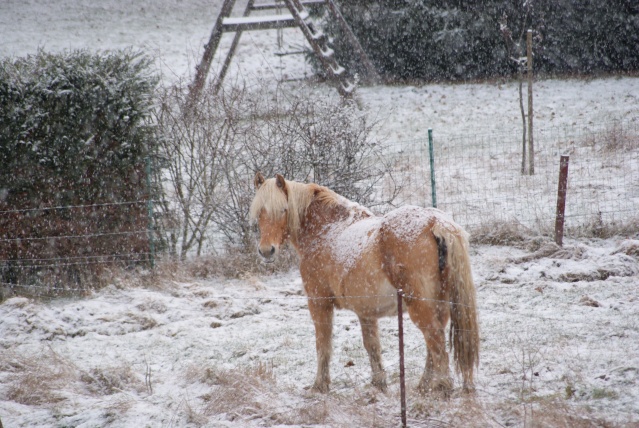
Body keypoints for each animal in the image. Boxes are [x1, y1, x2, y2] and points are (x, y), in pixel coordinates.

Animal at [250, 174, 480, 394]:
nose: (266, 251)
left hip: (421, 306)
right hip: (441, 305)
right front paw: (379, 383)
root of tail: (436, 224)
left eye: (283, 210)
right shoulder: (366, 311)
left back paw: (442, 387)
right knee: (433, 344)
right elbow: (372, 346)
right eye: (260, 211)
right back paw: (424, 386)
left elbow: (323, 345)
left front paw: (320, 386)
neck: (327, 230)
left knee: (436, 342)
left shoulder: (319, 303)